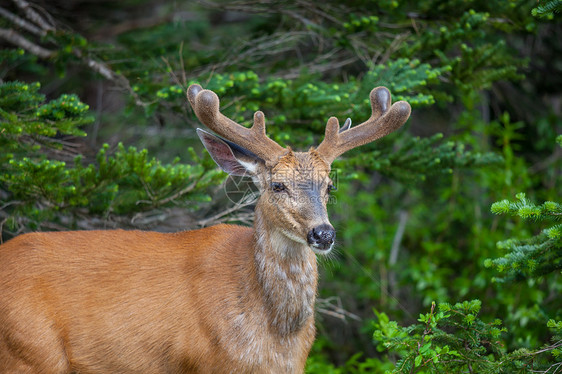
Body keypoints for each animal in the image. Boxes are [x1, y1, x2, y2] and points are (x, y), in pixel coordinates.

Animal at [0, 83, 406, 372]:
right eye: (277, 185)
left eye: (329, 185)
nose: (323, 234)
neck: (276, 338)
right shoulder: (206, 362)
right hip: (30, 353)